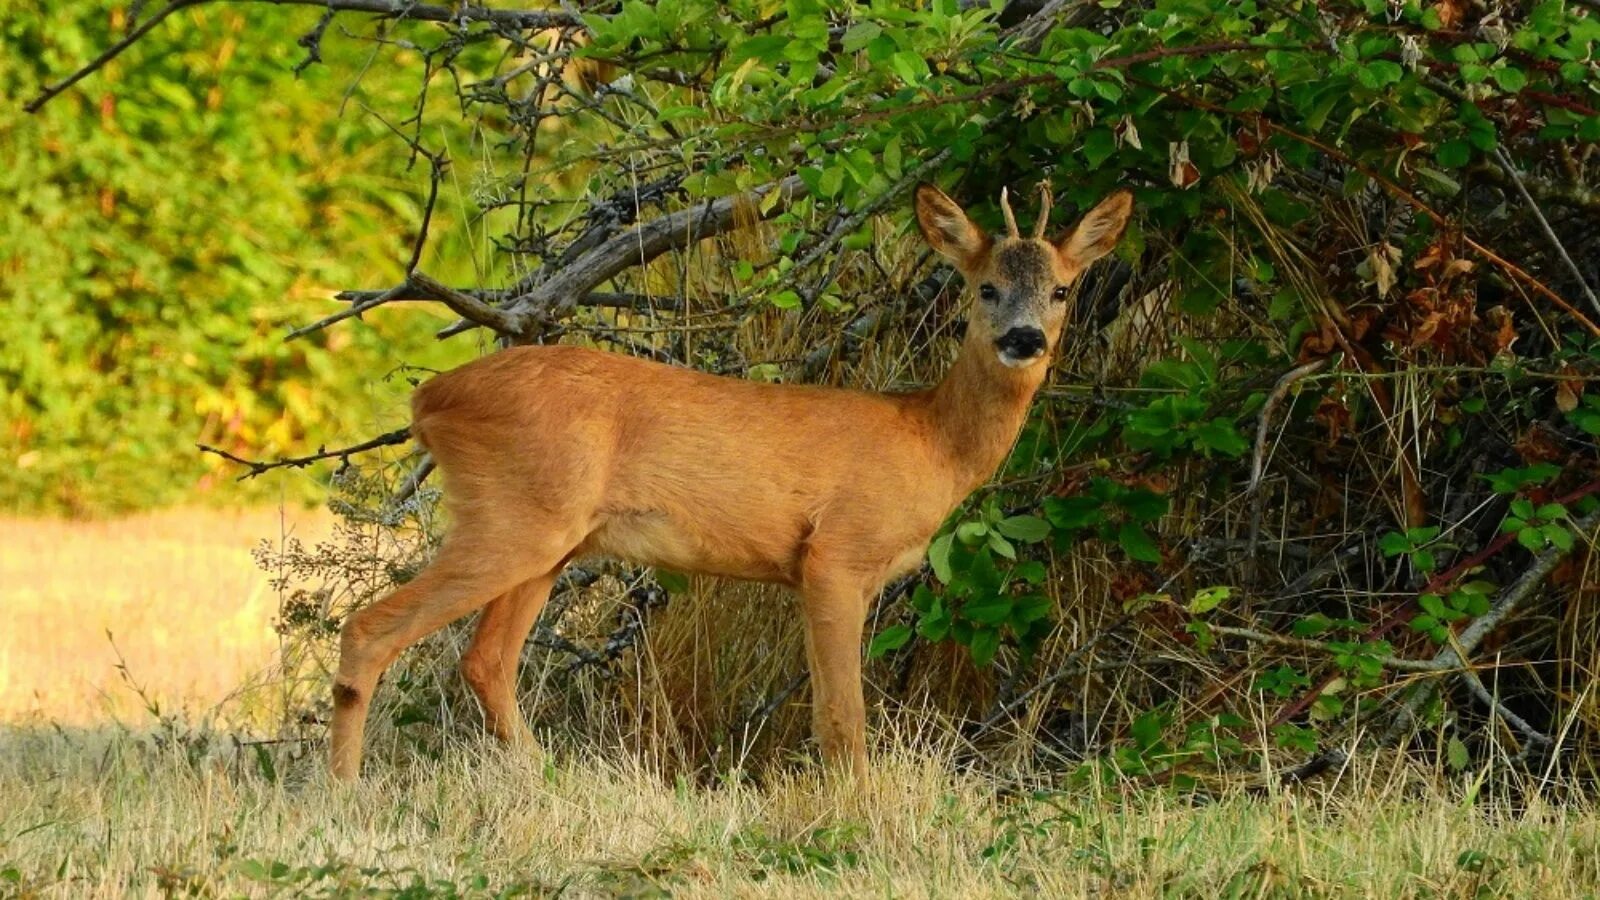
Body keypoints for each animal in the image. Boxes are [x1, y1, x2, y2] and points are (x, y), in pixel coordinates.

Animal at [334, 182, 1139, 778]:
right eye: (986, 287)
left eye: (1062, 290)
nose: (1024, 339)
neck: (930, 443)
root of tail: (429, 401)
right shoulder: (835, 554)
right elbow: (842, 718)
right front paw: (857, 812)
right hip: (513, 517)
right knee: (372, 628)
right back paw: (345, 793)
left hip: (550, 539)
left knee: (486, 660)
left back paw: (546, 780)